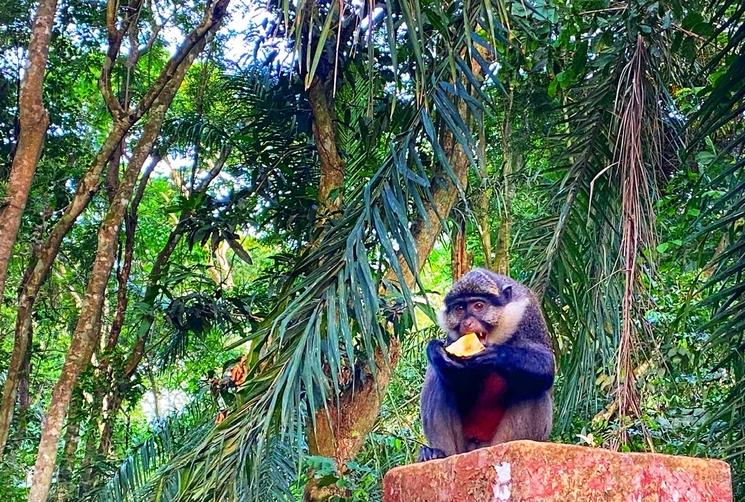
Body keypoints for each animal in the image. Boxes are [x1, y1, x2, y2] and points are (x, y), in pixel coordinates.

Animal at [418, 268, 555, 461]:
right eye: (459, 309)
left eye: (478, 306)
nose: (467, 323)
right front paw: (436, 353)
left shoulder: (529, 312)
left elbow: (547, 365)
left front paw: (496, 356)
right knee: (436, 377)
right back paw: (437, 453)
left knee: (534, 387)